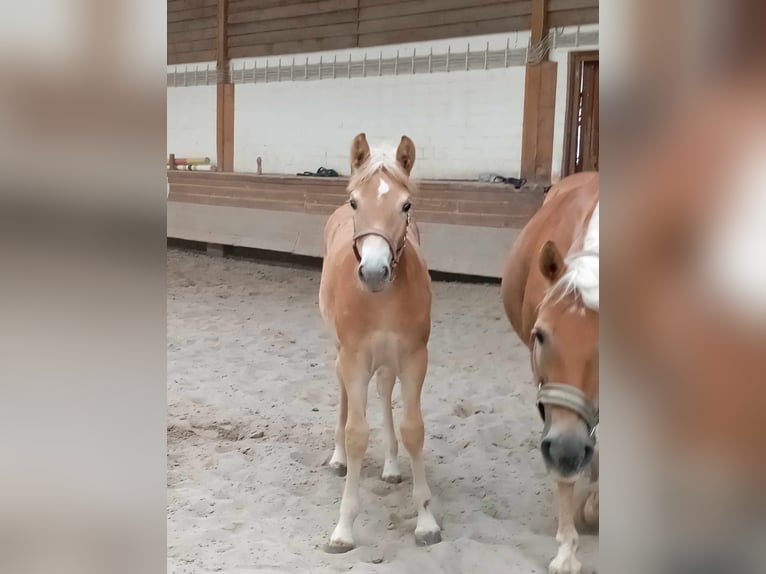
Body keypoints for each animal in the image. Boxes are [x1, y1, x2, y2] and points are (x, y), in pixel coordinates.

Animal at [318, 134, 440, 552]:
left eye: (406, 205)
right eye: (357, 201)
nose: (373, 272)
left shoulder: (415, 357)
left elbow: (413, 429)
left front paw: (426, 520)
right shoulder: (354, 357)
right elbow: (357, 433)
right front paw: (343, 528)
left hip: (389, 359)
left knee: (386, 392)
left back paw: (390, 465)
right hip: (343, 355)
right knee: (342, 392)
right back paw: (338, 459)